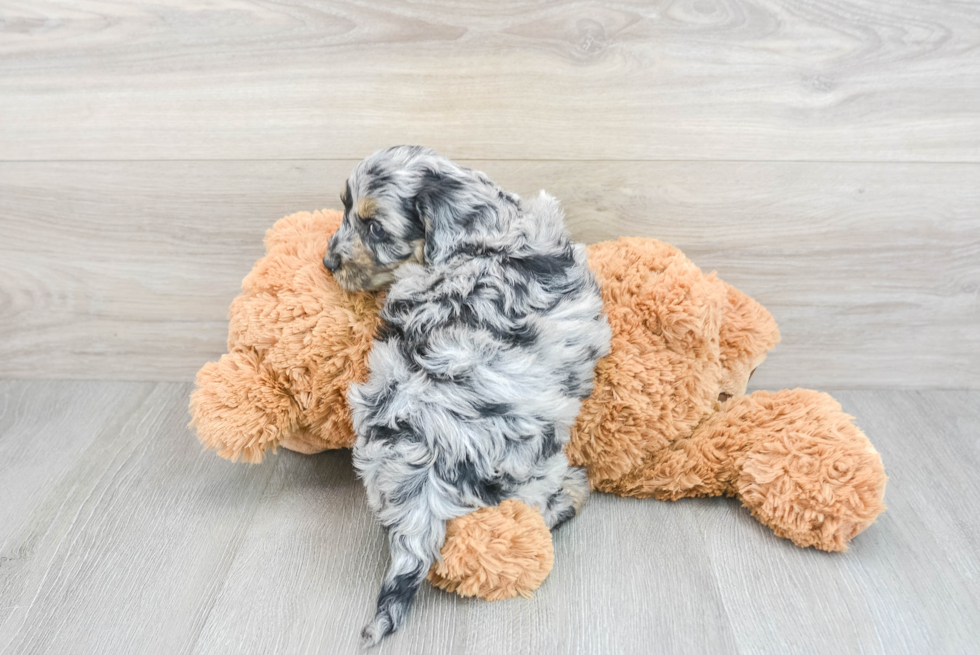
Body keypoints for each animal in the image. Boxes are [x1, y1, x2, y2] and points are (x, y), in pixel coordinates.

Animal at [324, 145, 612, 644]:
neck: (487, 230)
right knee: (539, 508)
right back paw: (575, 490)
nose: (328, 262)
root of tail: (420, 476)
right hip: (537, 463)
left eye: (375, 228)